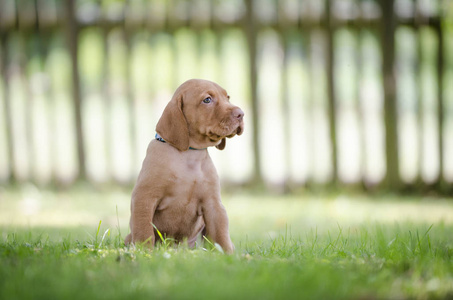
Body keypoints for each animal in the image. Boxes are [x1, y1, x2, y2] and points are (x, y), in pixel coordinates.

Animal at [123, 78, 244, 253]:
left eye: (227, 97)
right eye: (207, 100)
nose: (241, 114)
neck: (190, 154)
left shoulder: (213, 203)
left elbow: (221, 233)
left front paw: (228, 255)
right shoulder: (144, 197)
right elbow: (144, 229)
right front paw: (144, 252)